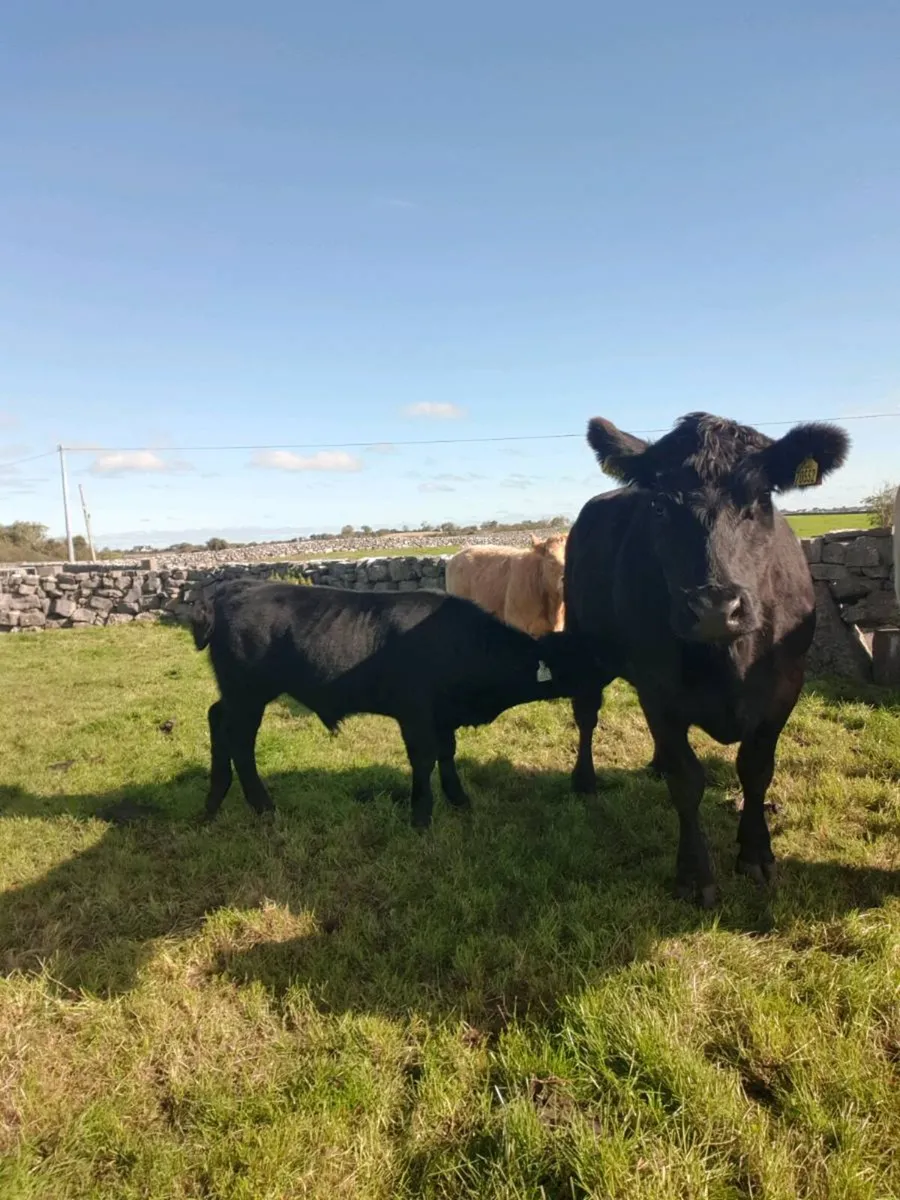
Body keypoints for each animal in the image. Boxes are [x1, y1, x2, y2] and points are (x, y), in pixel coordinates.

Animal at [190, 579, 604, 829]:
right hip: (247, 695)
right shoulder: (415, 713)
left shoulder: (443, 717)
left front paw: (458, 799)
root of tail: (233, 589)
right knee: (240, 740)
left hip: (239, 696)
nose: (604, 683)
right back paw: (262, 805)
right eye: (578, 661)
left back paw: (214, 800)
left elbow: (447, 754)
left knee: (216, 718)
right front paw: (421, 814)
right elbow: (424, 758)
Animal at [564, 411, 850, 906]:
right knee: (586, 713)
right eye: (660, 506)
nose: (715, 607)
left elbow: (756, 770)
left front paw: (756, 853)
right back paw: (585, 780)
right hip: (584, 645)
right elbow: (688, 781)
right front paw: (695, 874)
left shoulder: (785, 686)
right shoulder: (659, 687)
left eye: (762, 498)